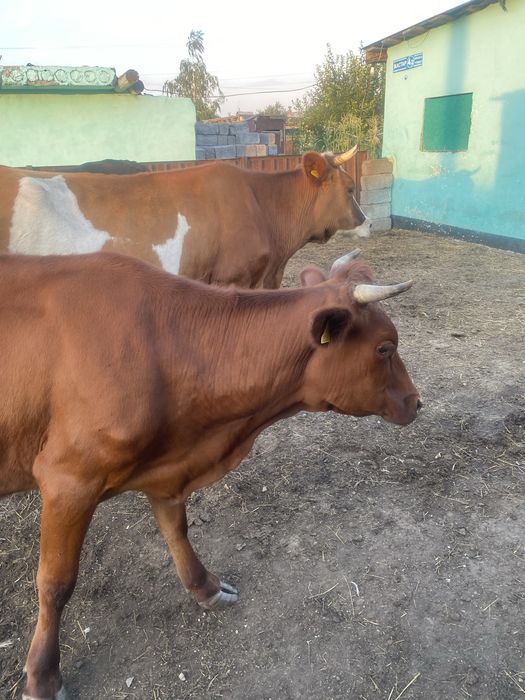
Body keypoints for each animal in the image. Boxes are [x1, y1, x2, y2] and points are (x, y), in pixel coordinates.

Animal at [0, 248, 420, 699]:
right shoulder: (68, 479)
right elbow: (55, 583)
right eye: (384, 347)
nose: (417, 402)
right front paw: (42, 677)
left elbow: (177, 530)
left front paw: (209, 588)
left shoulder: (166, 467)